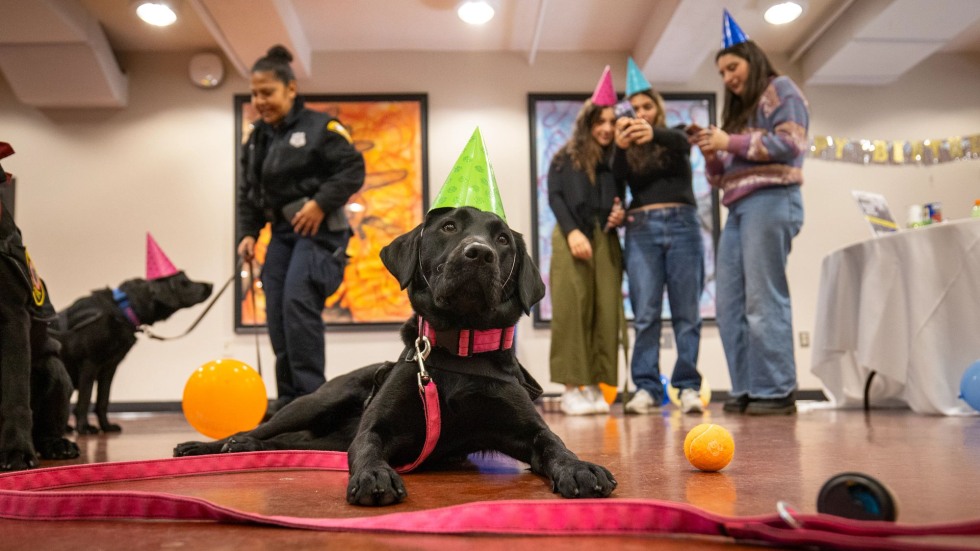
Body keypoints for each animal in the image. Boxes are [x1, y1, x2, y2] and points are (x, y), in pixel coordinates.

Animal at [50, 272, 212, 436]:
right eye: (184, 281)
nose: (210, 285)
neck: (120, 310)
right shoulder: (90, 363)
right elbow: (85, 399)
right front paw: (84, 428)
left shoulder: (110, 368)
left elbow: (103, 400)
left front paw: (106, 426)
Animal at [173, 208, 616, 508]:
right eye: (449, 227)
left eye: (503, 239)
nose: (479, 253)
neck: (458, 347)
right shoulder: (377, 427)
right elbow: (367, 447)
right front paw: (374, 474)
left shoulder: (528, 430)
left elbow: (555, 443)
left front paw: (579, 466)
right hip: (317, 402)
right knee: (261, 429)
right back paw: (210, 447)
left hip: (327, 437)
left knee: (289, 442)